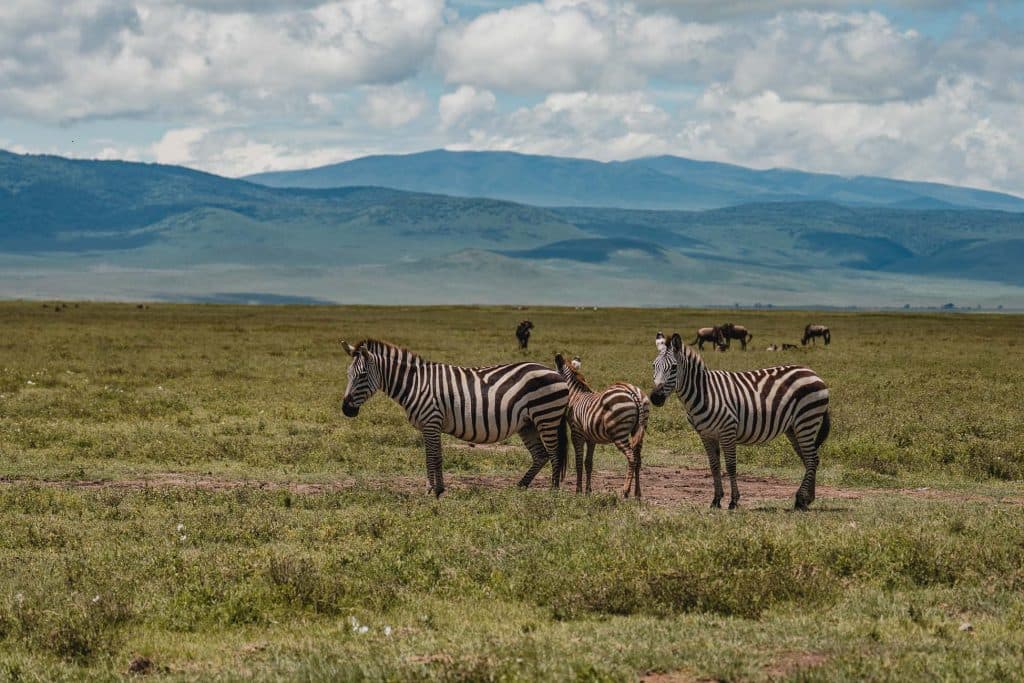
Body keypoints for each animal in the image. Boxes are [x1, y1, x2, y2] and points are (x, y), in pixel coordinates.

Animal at [340, 339, 569, 497]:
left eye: (361, 376)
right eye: (348, 374)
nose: (346, 410)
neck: (415, 384)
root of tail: (556, 373)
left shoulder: (431, 421)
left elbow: (433, 457)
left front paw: (433, 490)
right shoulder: (430, 425)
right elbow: (433, 457)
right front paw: (435, 488)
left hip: (546, 417)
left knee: (554, 454)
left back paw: (553, 491)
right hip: (528, 423)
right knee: (541, 455)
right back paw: (520, 486)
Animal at [554, 354, 650, 498]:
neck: (575, 395)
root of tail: (632, 392)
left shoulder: (576, 433)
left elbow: (578, 462)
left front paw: (578, 491)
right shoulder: (591, 438)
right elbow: (588, 463)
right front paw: (588, 491)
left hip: (619, 433)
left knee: (632, 458)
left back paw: (625, 491)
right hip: (638, 430)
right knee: (638, 460)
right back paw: (637, 494)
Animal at [650, 333, 830, 510]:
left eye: (674, 367)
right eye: (653, 366)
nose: (655, 398)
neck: (704, 392)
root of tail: (812, 372)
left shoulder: (727, 430)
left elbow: (731, 466)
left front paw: (733, 501)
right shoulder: (706, 434)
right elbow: (714, 466)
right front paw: (716, 500)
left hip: (806, 420)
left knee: (812, 459)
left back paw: (800, 500)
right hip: (793, 428)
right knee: (809, 459)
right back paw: (807, 499)